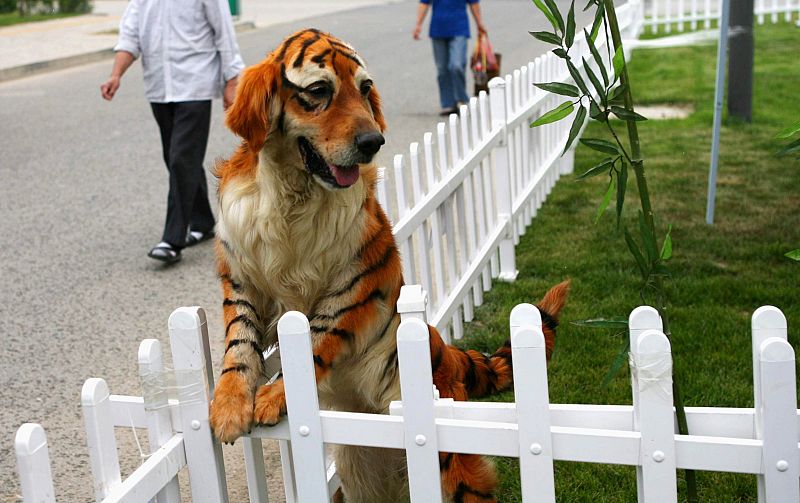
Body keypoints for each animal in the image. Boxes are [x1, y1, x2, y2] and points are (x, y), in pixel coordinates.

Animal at [209, 29, 572, 502]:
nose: (373, 142)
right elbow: (239, 344)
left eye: (365, 89)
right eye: (319, 91)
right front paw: (228, 406)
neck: (294, 197)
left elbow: (316, 337)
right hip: (359, 468)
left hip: (449, 464)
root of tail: (444, 350)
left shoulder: (356, 280)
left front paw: (275, 395)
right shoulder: (242, 278)